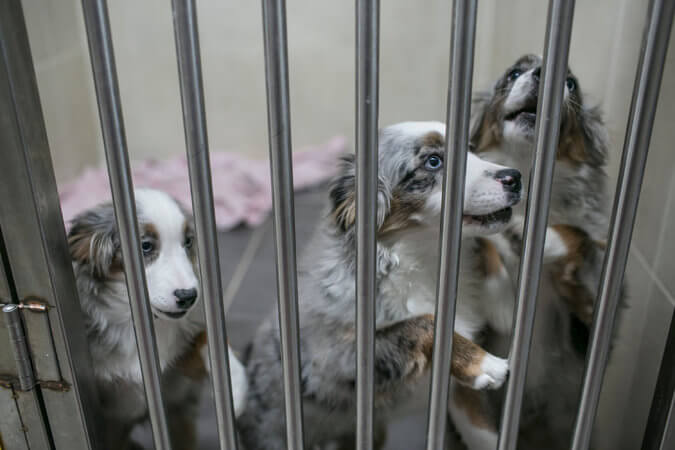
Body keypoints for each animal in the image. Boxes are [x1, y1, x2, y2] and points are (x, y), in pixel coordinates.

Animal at [68, 188, 248, 448]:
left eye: (188, 241)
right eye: (145, 246)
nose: (189, 296)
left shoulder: (180, 375)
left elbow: (209, 338)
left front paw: (235, 387)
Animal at [240, 121, 524, 448]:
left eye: (471, 148)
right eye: (434, 161)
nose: (515, 177)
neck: (423, 262)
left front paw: (503, 302)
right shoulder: (335, 361)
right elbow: (422, 323)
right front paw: (484, 363)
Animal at [446, 54, 616, 448]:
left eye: (571, 83)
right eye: (513, 73)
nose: (546, 73)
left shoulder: (594, 322)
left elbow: (580, 236)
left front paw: (531, 235)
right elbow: (483, 236)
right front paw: (502, 300)